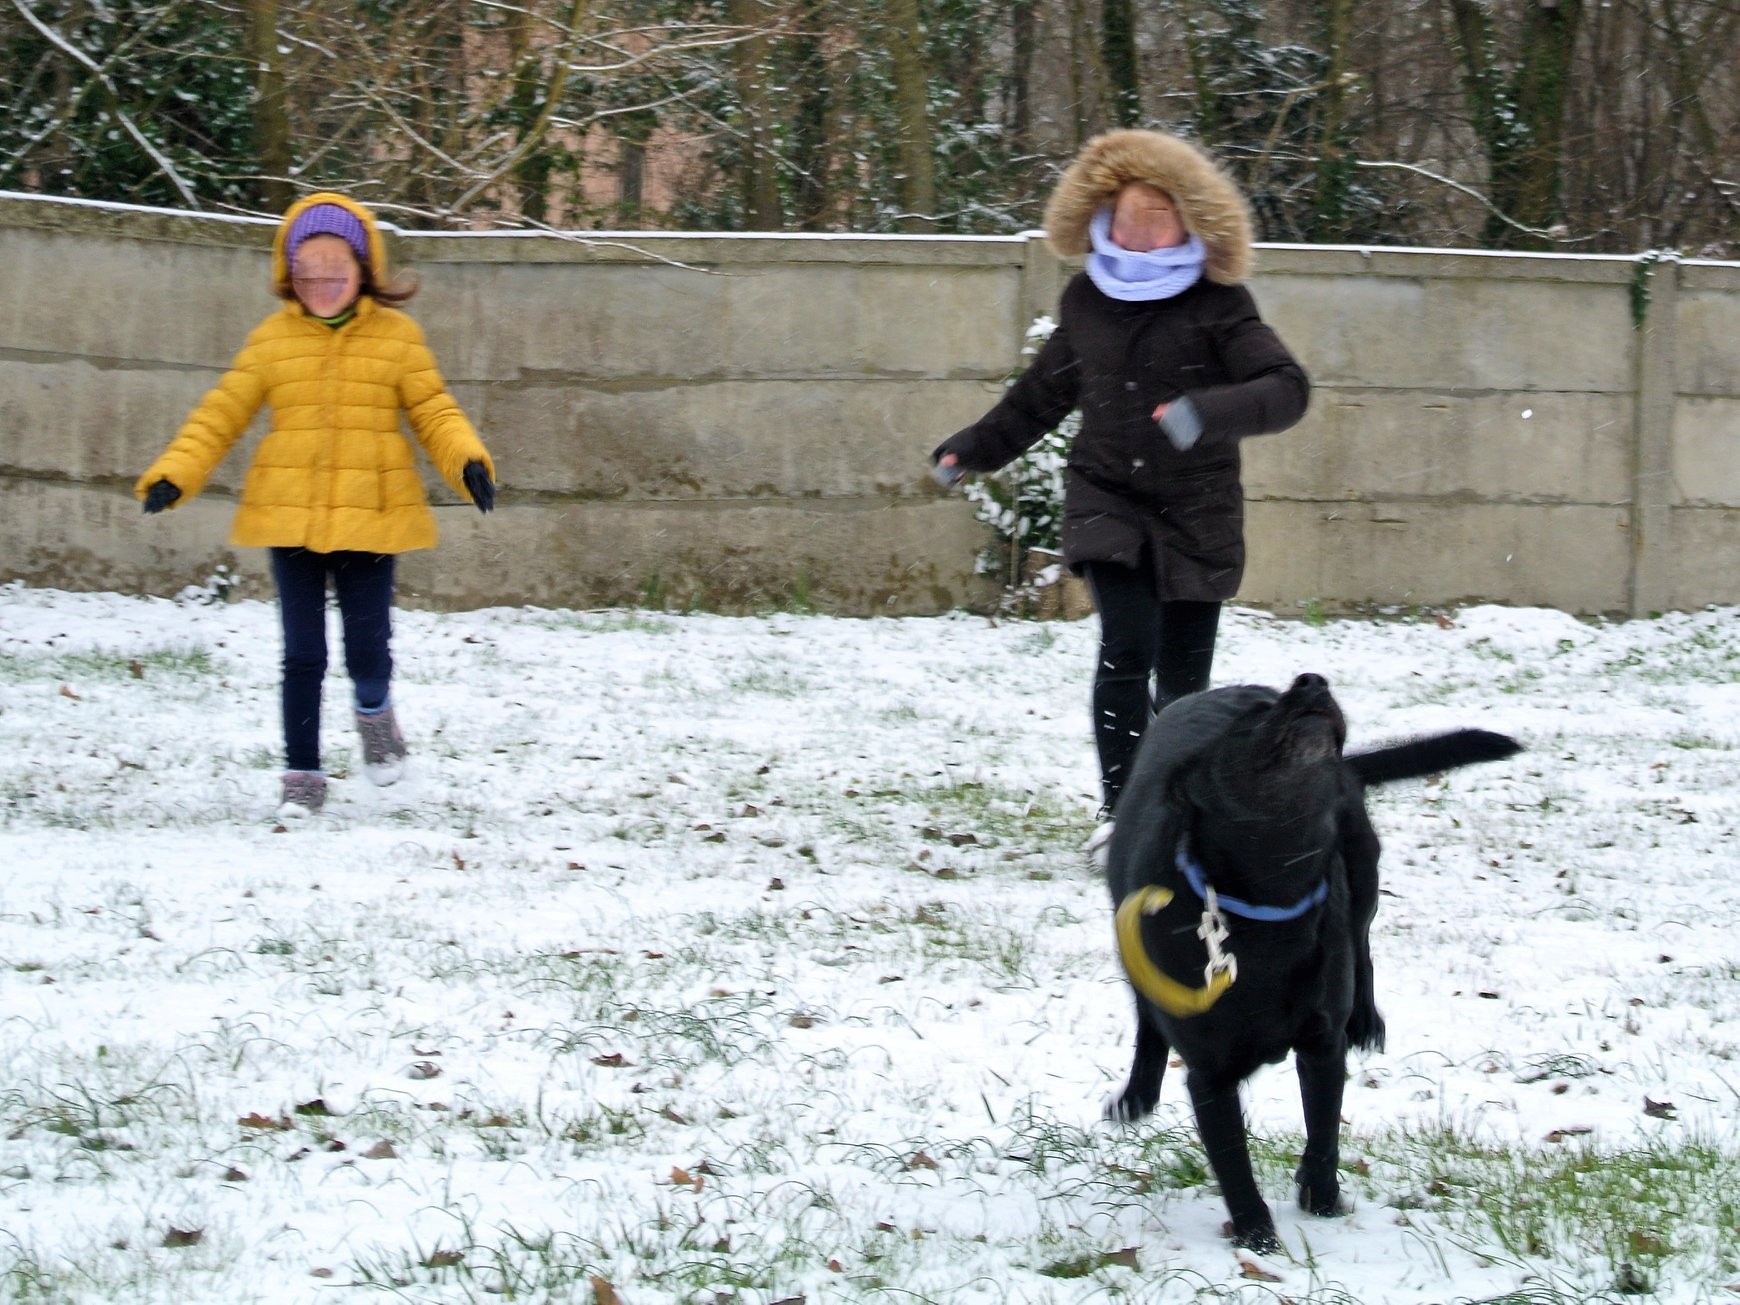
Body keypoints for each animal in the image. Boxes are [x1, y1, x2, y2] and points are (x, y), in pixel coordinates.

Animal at [1104, 673, 1520, 1254]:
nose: (1312, 680)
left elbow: (1323, 1127)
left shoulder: (1323, 1044)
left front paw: (1321, 1201)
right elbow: (1232, 1161)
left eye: (1268, 703)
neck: (1271, 900)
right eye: (1250, 721)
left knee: (1362, 945)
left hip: (1363, 870)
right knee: (1146, 1018)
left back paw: (1366, 1021)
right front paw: (1258, 1238)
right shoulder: (1209, 1074)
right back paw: (1138, 1095)